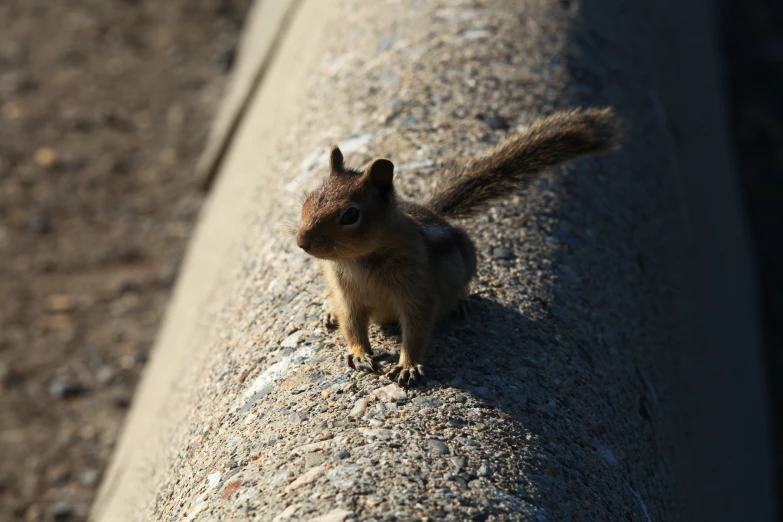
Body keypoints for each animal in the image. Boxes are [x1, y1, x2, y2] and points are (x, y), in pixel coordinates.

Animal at [298, 107, 620, 384]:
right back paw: (329, 313)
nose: (302, 242)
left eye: (350, 215)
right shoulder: (346, 294)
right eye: (308, 200)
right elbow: (352, 324)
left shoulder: (417, 288)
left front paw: (408, 366)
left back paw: (459, 304)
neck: (359, 259)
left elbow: (416, 327)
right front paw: (360, 354)